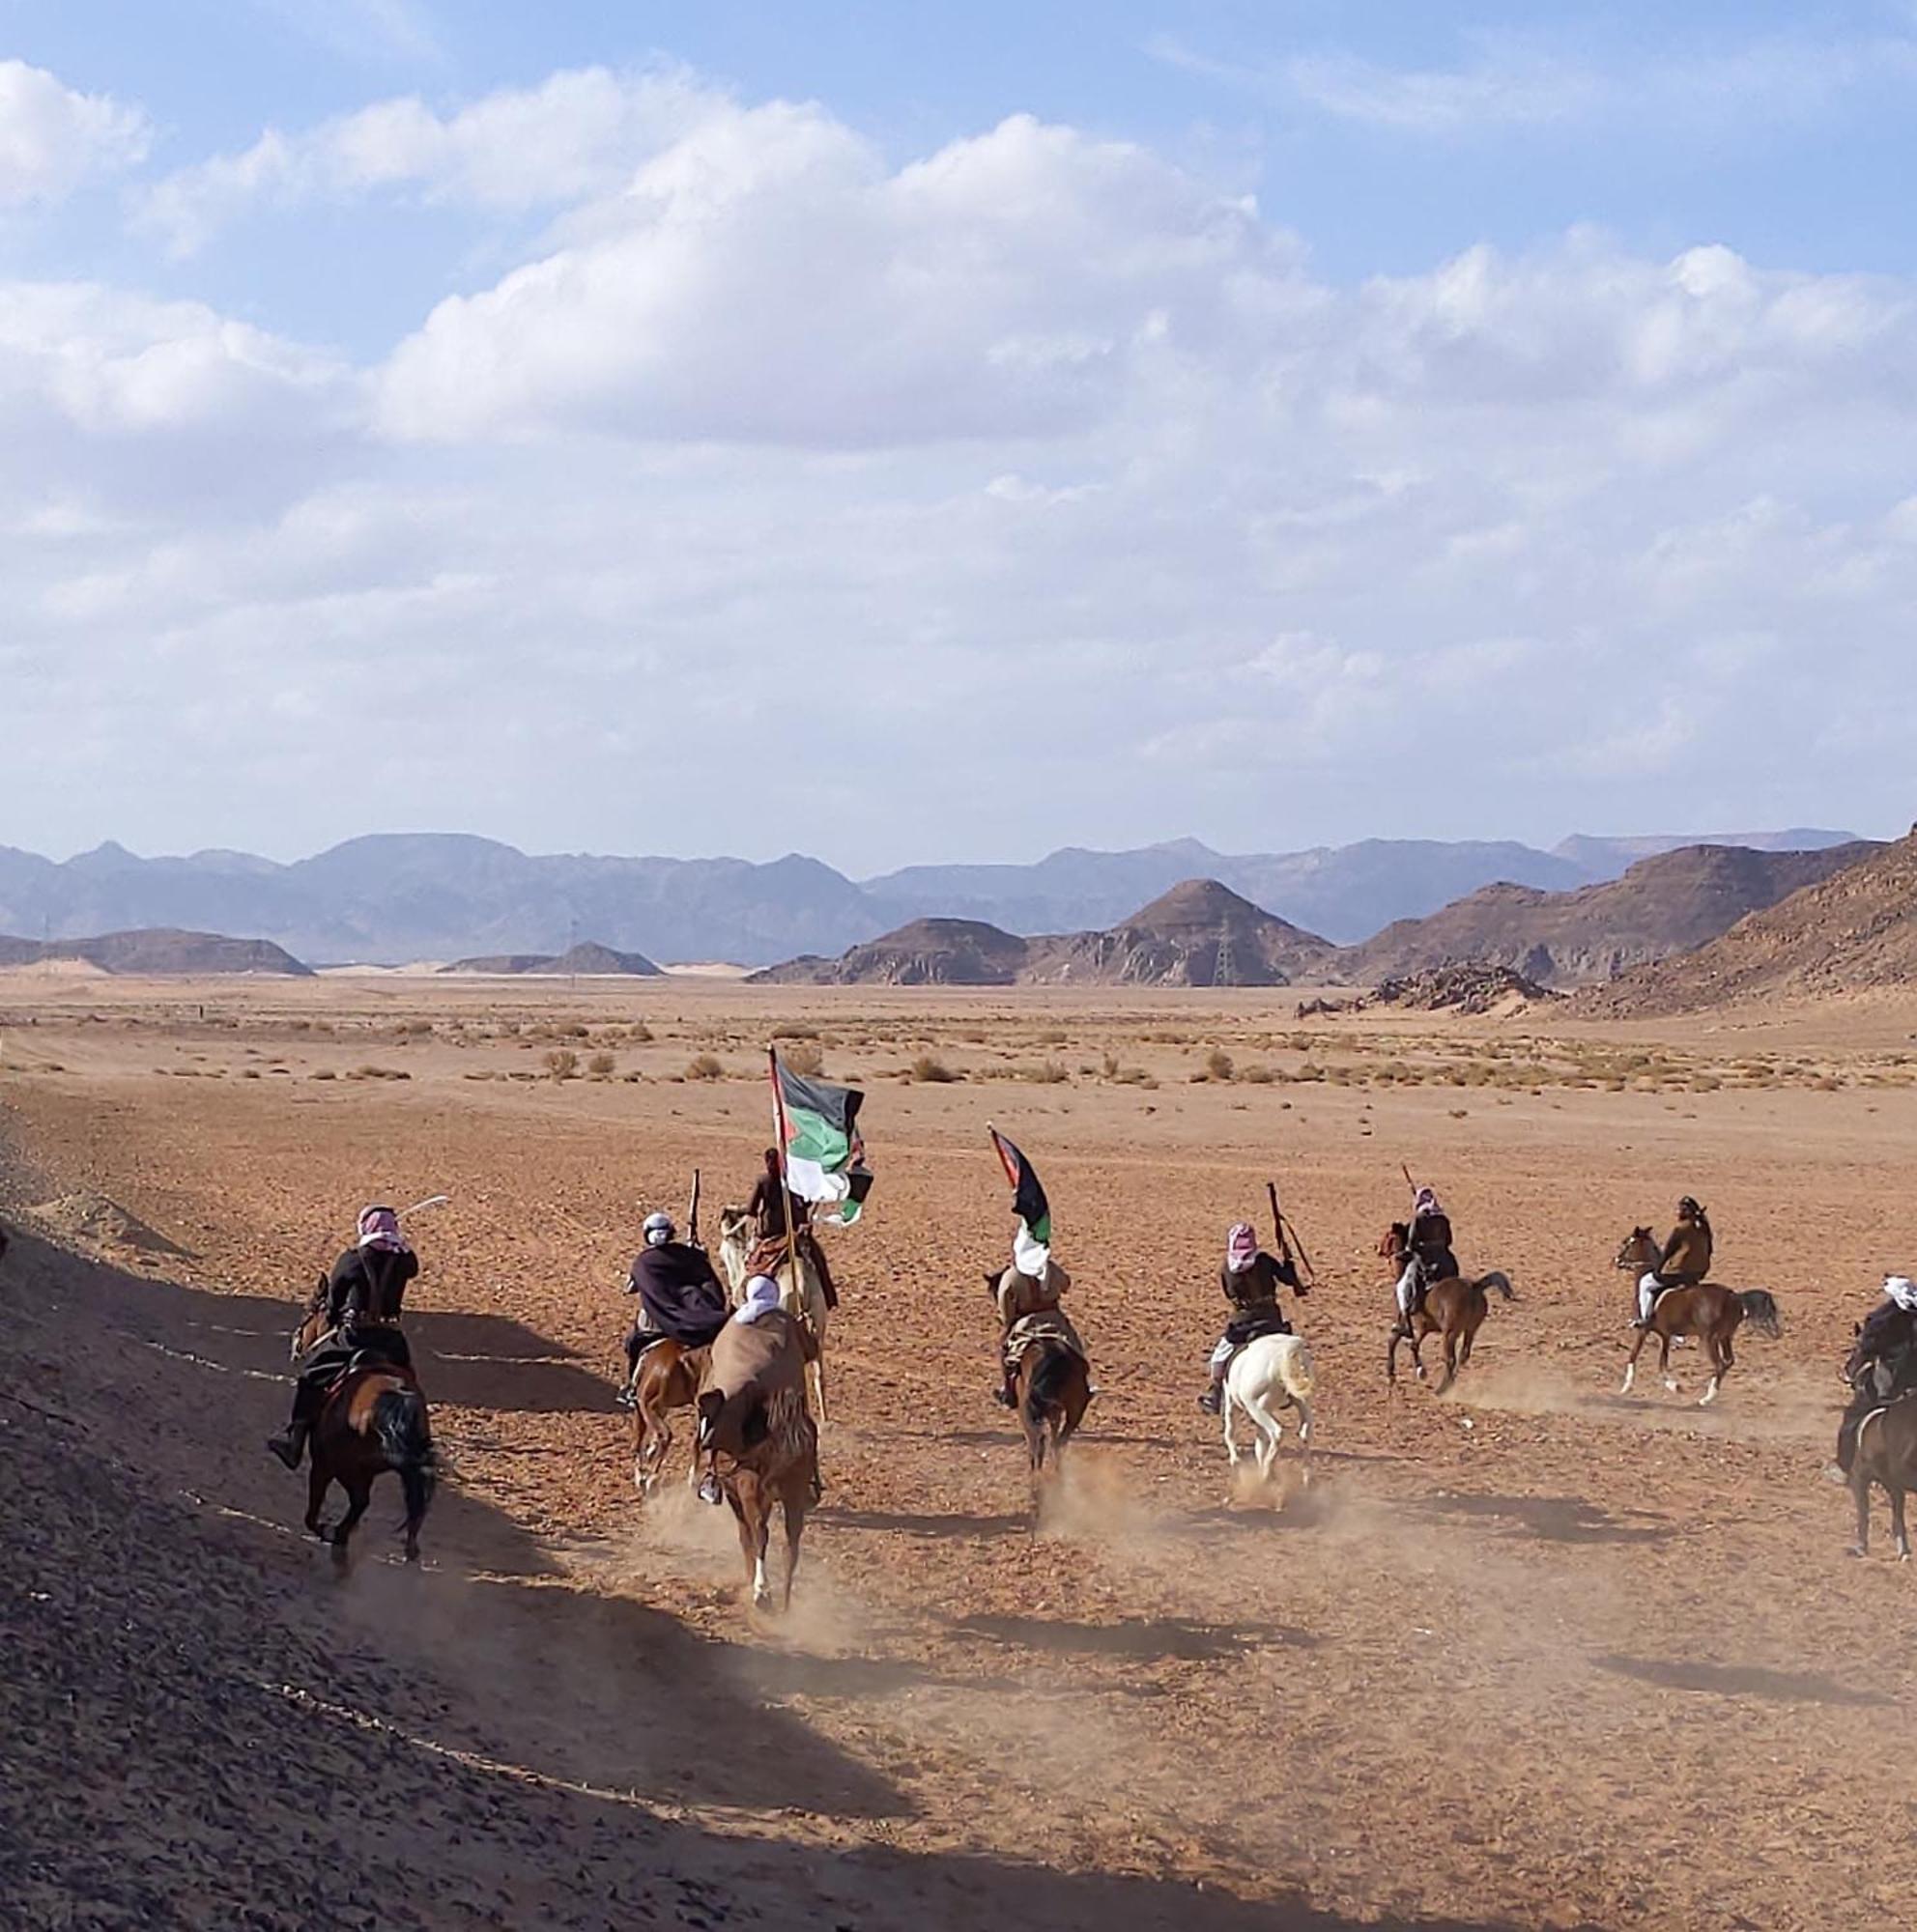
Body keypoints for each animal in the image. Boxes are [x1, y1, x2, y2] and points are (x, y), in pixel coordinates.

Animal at [303, 1360, 435, 1569]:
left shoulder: (324, 1467)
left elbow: (313, 1512)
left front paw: (326, 1531)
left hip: (343, 1470)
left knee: (358, 1502)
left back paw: (338, 1539)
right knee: (413, 1506)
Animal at [1221, 1337, 1314, 1484]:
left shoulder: (1231, 1402)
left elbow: (1230, 1432)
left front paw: (1235, 1460)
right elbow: (1260, 1445)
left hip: (1257, 1409)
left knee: (1277, 1433)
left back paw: (1268, 1472)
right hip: (1302, 1403)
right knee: (1305, 1433)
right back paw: (1306, 1476)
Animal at [1376, 1221, 1515, 1391]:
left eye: (1388, 1236)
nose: (1379, 1249)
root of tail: (1474, 1286)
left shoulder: (1406, 1321)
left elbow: (1396, 1340)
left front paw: (1398, 1373)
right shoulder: (1423, 1327)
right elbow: (1411, 1343)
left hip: (1450, 1334)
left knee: (1450, 1359)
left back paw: (1442, 1389)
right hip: (1471, 1329)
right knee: (1463, 1354)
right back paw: (1451, 1381)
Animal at [1608, 1229, 1778, 1414]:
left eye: (1629, 1243)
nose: (1617, 1260)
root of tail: (1734, 1296)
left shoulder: (1644, 1330)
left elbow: (1634, 1356)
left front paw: (1627, 1387)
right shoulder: (1665, 1335)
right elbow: (1662, 1363)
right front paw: (1674, 1385)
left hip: (1710, 1339)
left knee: (1720, 1364)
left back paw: (1705, 1399)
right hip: (1725, 1337)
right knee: (1728, 1361)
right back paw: (1709, 1392)